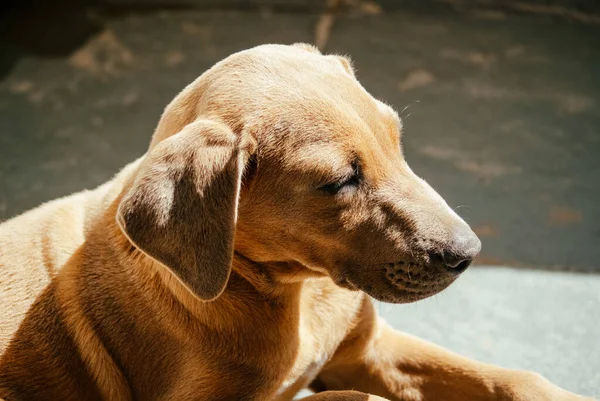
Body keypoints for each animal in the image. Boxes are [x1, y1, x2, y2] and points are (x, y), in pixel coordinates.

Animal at [0, 43, 592, 400]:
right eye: (339, 182)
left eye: (396, 139)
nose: (468, 253)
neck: (292, 291)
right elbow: (350, 399)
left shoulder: (369, 351)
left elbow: (513, 378)